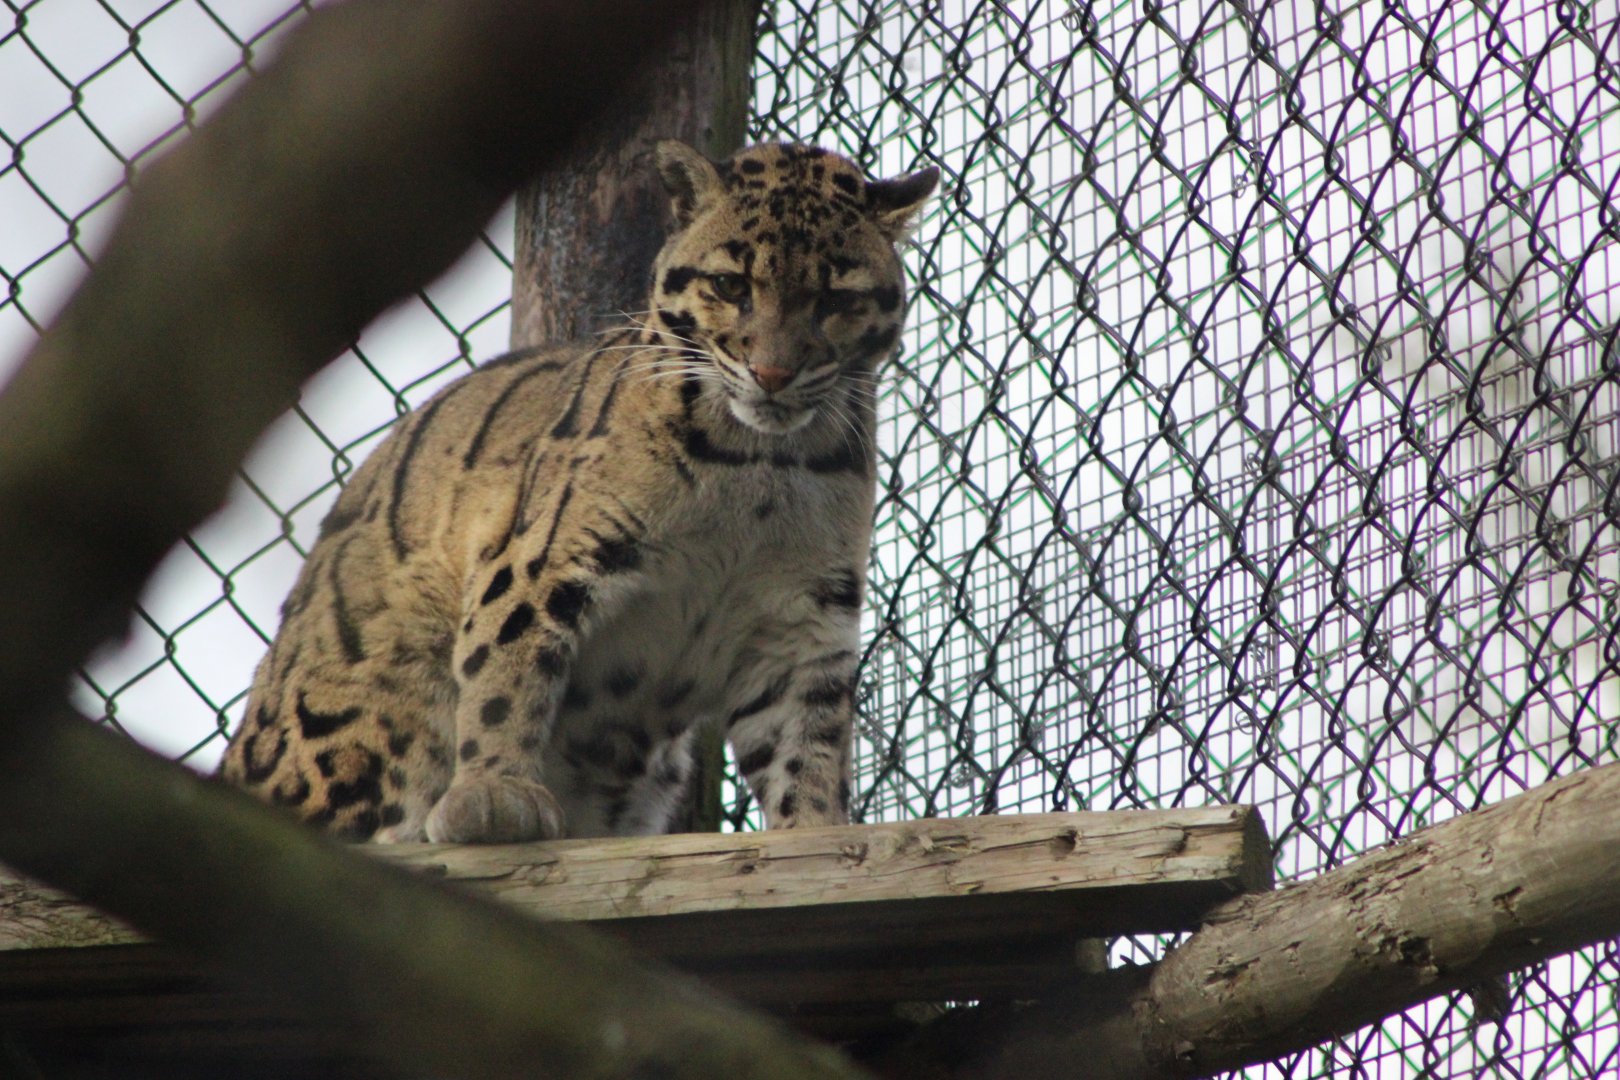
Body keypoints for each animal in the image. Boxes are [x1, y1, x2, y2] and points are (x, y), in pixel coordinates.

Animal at [219, 140, 937, 843]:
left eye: (835, 299)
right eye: (730, 285)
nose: (773, 373)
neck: (759, 463)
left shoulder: (805, 616)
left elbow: (807, 741)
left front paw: (815, 829)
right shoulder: (545, 560)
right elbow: (506, 676)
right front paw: (495, 796)